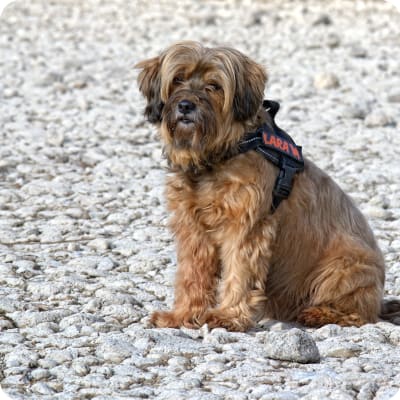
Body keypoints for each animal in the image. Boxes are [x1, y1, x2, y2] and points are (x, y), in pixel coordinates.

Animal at [136, 40, 398, 332]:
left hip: (344, 267)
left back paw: (319, 313)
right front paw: (182, 315)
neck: (220, 155)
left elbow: (240, 273)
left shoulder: (246, 227)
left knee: (359, 314)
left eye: (214, 86)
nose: (184, 106)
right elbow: (191, 276)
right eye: (178, 79)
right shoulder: (193, 231)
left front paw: (228, 316)